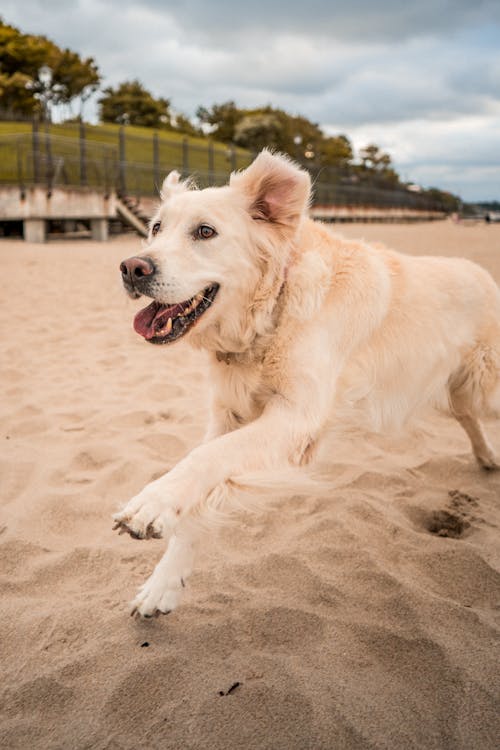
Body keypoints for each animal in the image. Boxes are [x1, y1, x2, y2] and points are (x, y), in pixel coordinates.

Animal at [113, 148, 500, 616]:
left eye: (205, 231)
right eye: (155, 228)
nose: (132, 267)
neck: (270, 314)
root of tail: (481, 273)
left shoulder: (297, 417)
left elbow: (203, 459)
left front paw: (151, 502)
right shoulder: (229, 415)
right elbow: (202, 483)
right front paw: (164, 584)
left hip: (486, 385)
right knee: (468, 417)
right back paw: (486, 457)